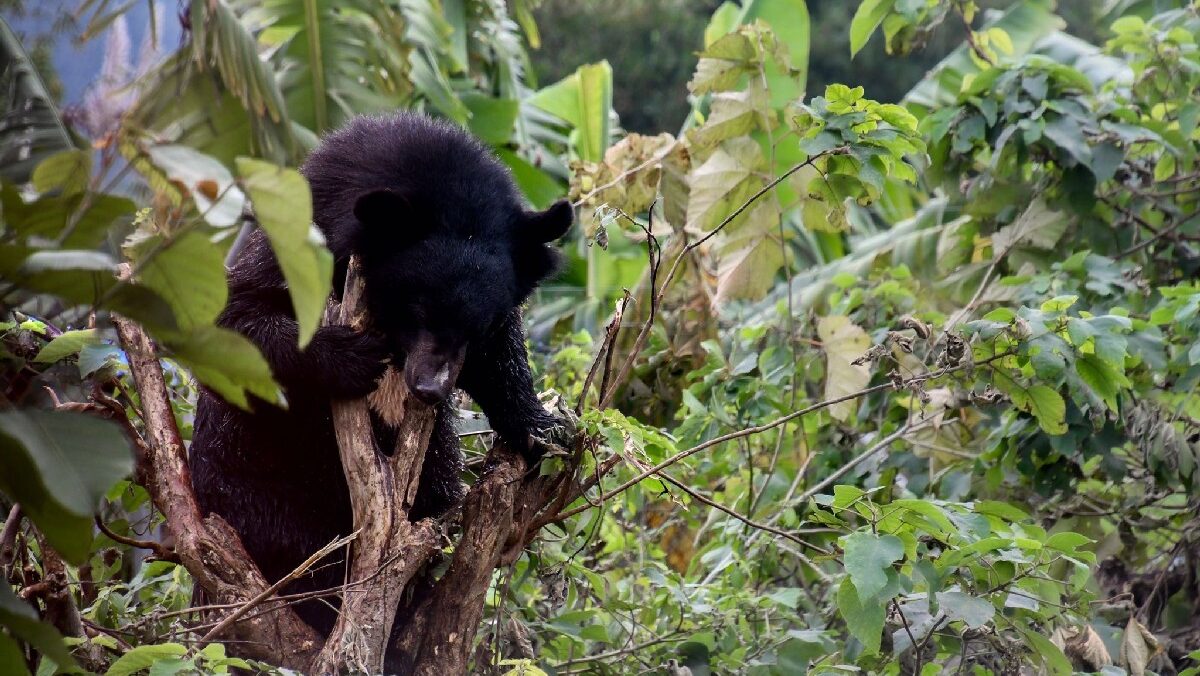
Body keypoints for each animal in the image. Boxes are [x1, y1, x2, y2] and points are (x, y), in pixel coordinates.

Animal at [190, 113, 571, 638]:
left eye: (478, 324)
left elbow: (500, 361)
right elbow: (233, 316)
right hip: (253, 484)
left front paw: (544, 430)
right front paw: (350, 358)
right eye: (419, 308)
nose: (429, 388)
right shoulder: (300, 237)